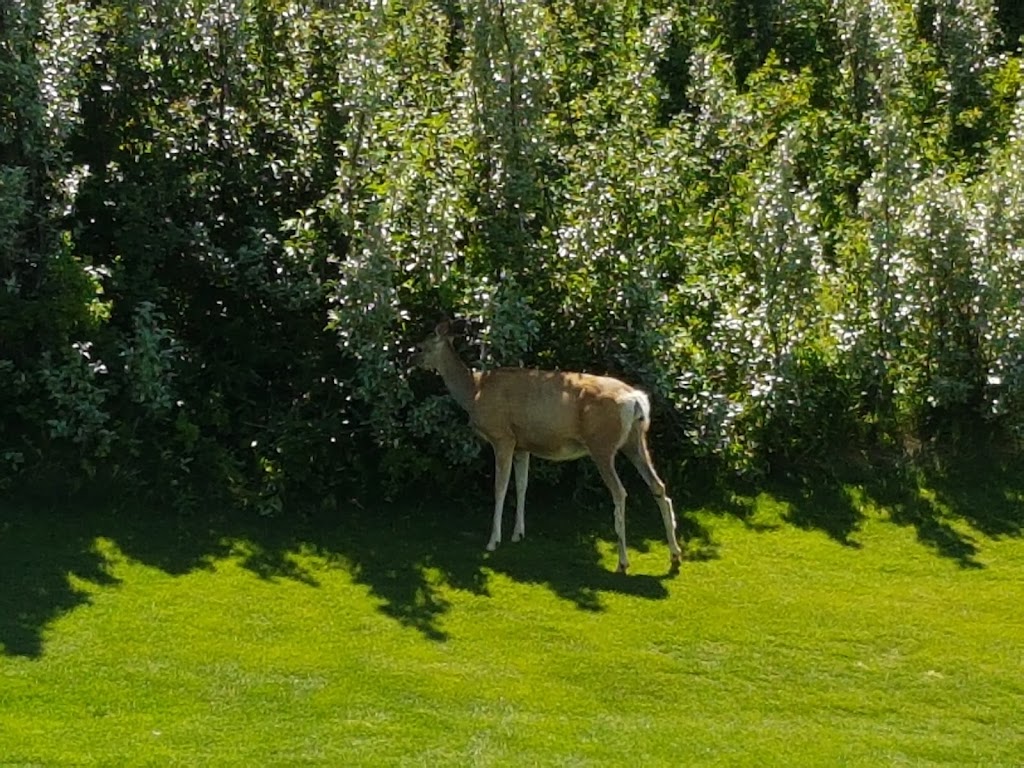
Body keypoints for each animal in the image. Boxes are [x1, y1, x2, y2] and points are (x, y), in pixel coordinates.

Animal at [411, 321, 684, 573]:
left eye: (422, 346)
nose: (411, 360)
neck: (475, 391)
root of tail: (636, 400)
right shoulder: (523, 444)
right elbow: (522, 485)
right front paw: (518, 533)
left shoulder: (502, 437)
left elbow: (500, 488)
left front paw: (493, 541)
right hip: (635, 441)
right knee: (658, 486)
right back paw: (675, 555)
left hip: (602, 444)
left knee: (620, 492)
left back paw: (623, 562)